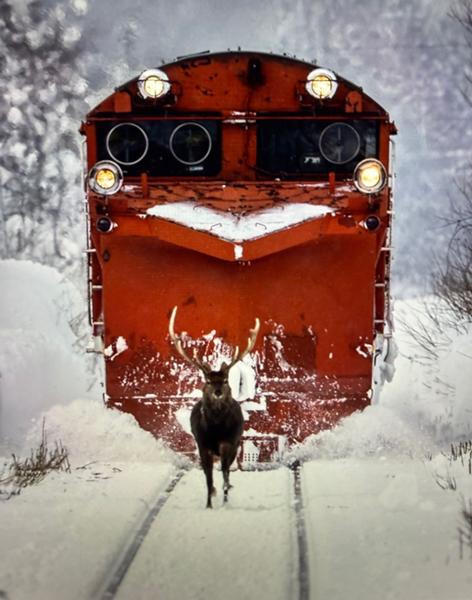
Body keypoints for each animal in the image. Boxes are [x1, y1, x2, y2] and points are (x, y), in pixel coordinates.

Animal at [168, 306, 260, 508]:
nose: (218, 392)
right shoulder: (203, 445)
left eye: (225, 380)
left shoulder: (229, 442)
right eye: (208, 381)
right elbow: (209, 479)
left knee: (226, 470)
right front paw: (209, 504)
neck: (216, 429)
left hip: (235, 443)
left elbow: (225, 473)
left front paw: (225, 501)